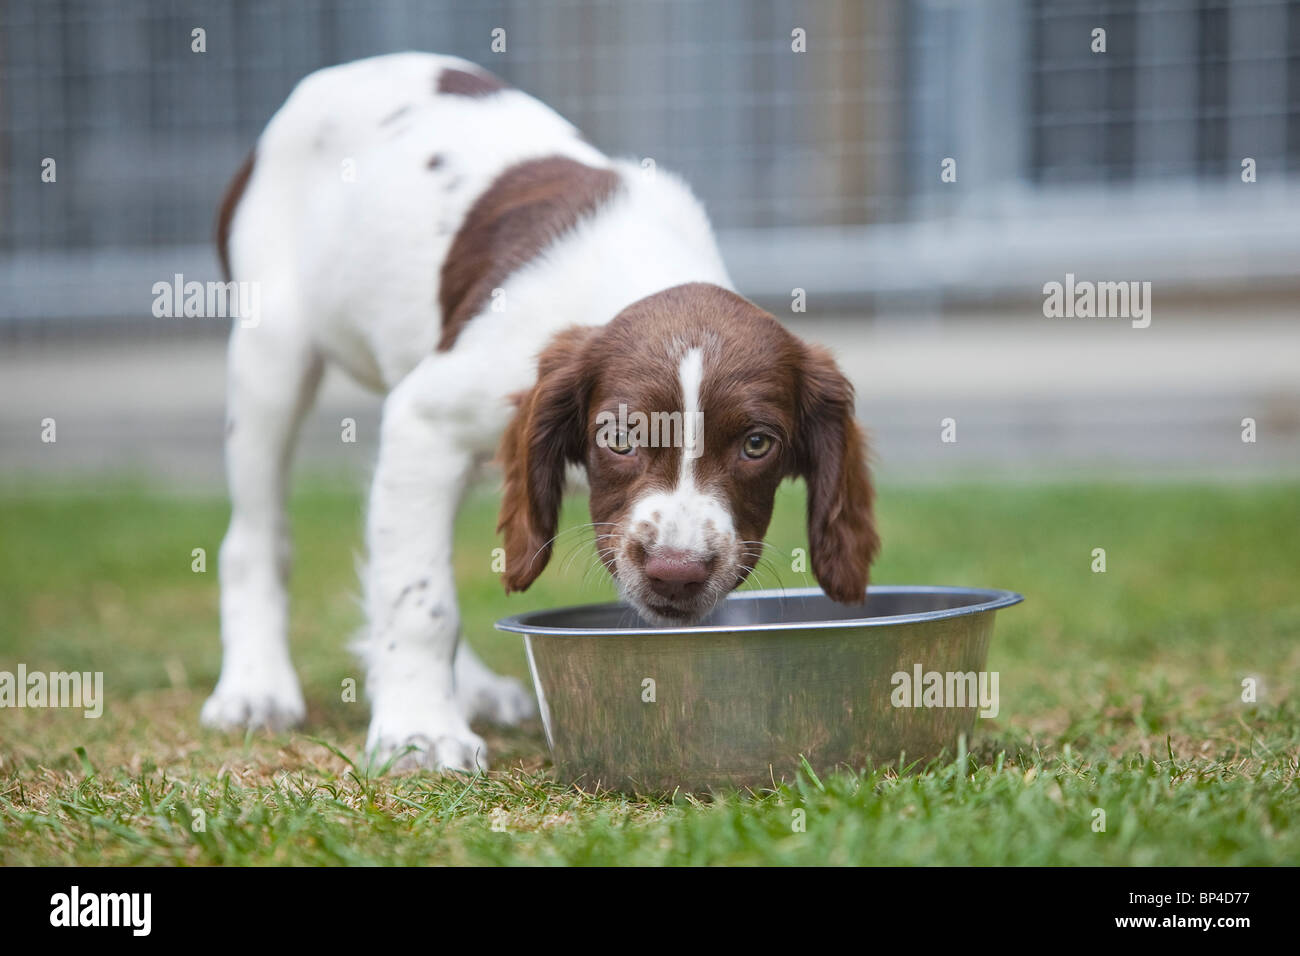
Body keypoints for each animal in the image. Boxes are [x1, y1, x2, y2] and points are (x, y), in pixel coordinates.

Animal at [197, 50, 878, 770]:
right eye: (618, 435)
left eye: (756, 444)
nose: (676, 572)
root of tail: (339, 73)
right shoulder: (427, 421)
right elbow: (420, 598)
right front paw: (419, 730)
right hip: (272, 356)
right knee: (255, 538)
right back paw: (256, 687)